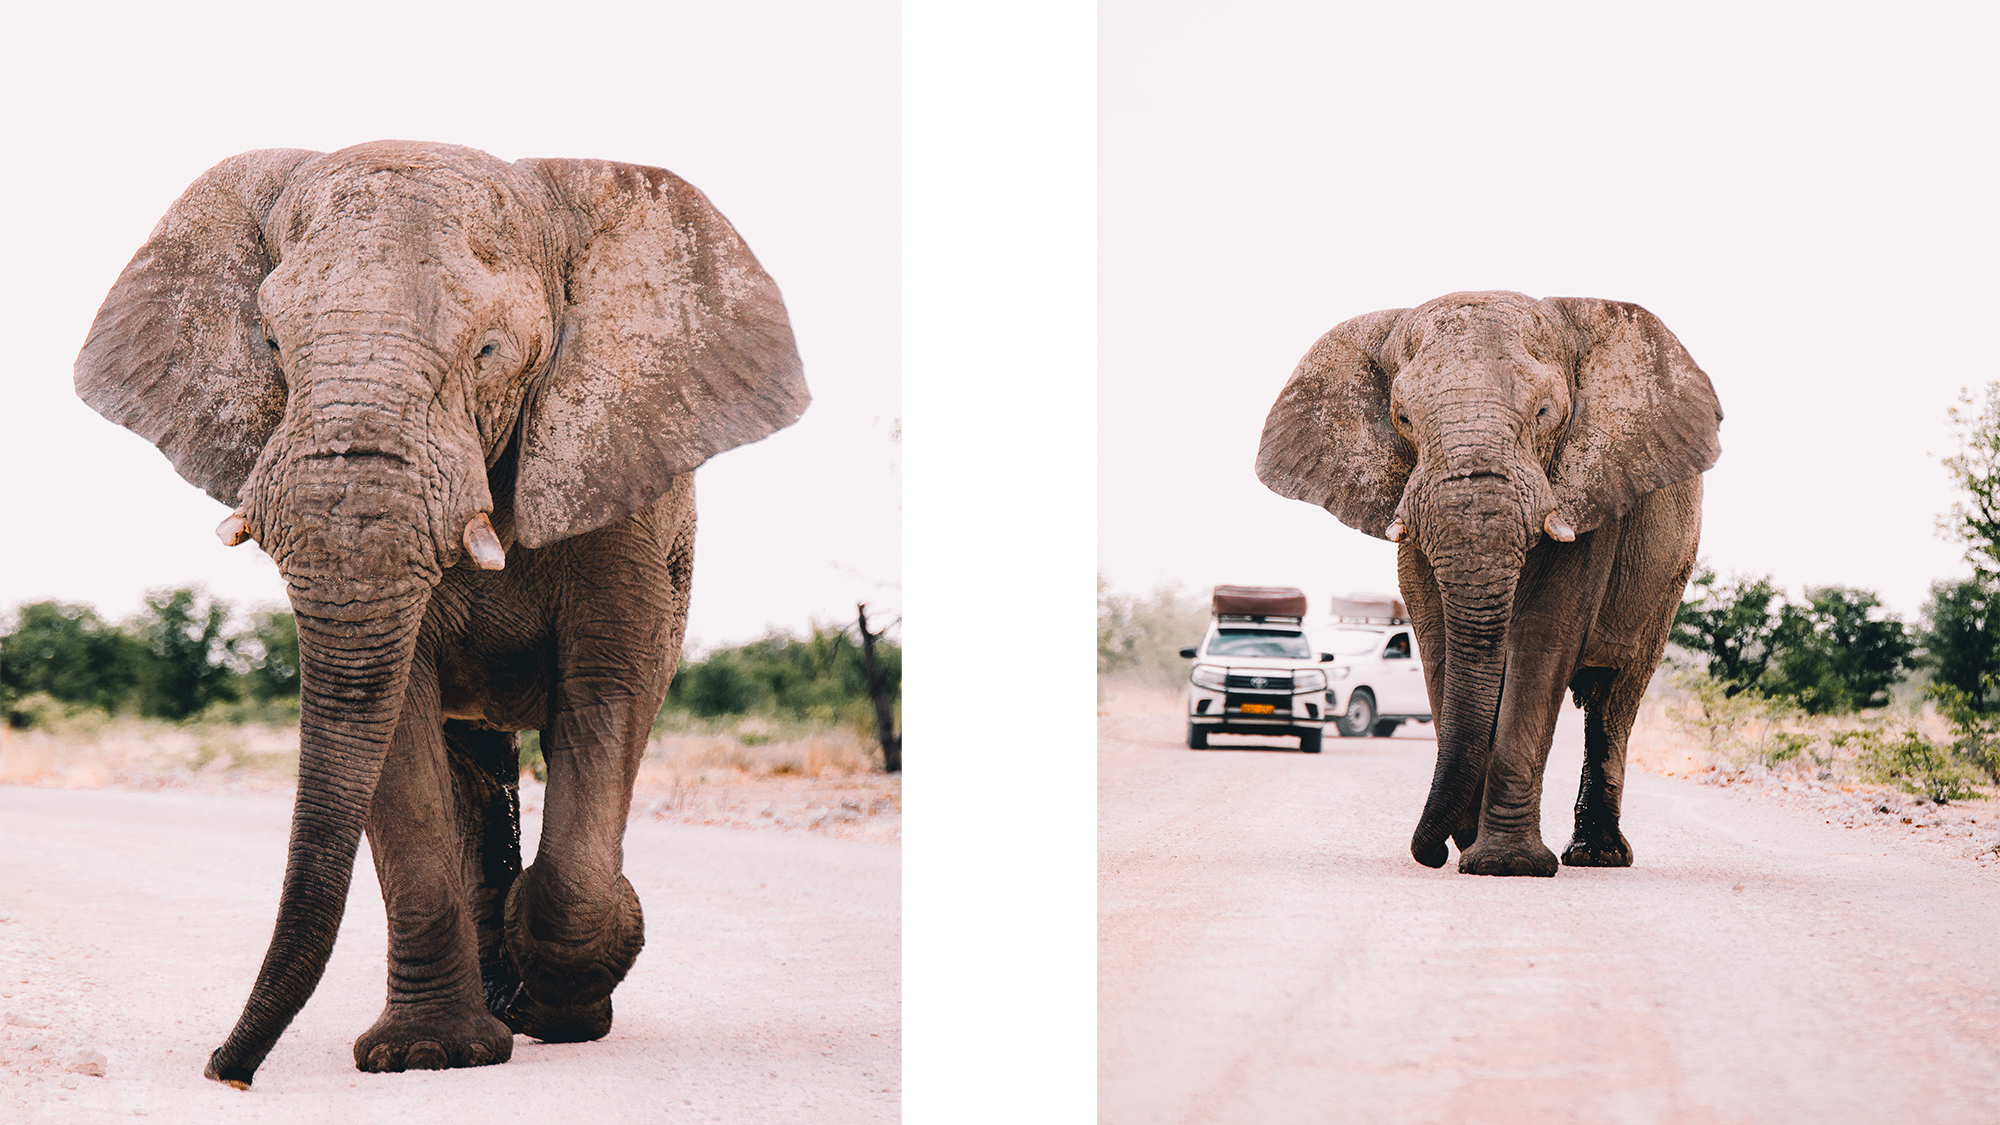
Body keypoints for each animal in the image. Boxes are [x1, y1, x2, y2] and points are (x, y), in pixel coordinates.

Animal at [72, 138, 804, 1080]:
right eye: (270, 340)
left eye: (490, 348)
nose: (224, 1069)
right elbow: (395, 721)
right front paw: (428, 1054)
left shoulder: (626, 489)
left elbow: (607, 690)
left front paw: (573, 993)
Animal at [1264, 288, 1720, 876]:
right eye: (1403, 417)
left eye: (1545, 412)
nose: (1434, 852)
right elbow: (1439, 643)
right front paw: (1470, 845)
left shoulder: (1588, 495)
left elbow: (1541, 641)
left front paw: (1506, 865)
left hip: (1667, 579)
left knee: (1613, 696)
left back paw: (1597, 856)